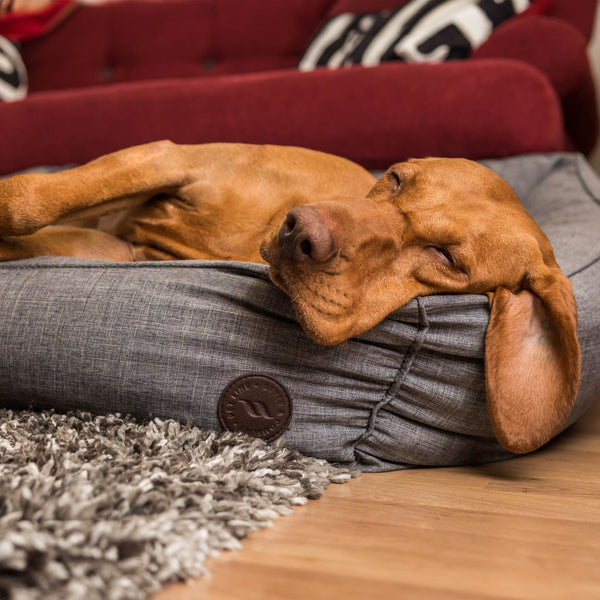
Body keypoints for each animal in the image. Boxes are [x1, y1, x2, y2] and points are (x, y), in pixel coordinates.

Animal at [1, 141, 580, 454]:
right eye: (395, 178)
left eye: (447, 258)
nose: (301, 230)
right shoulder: (167, 158)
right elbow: (25, 202)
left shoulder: (122, 249)